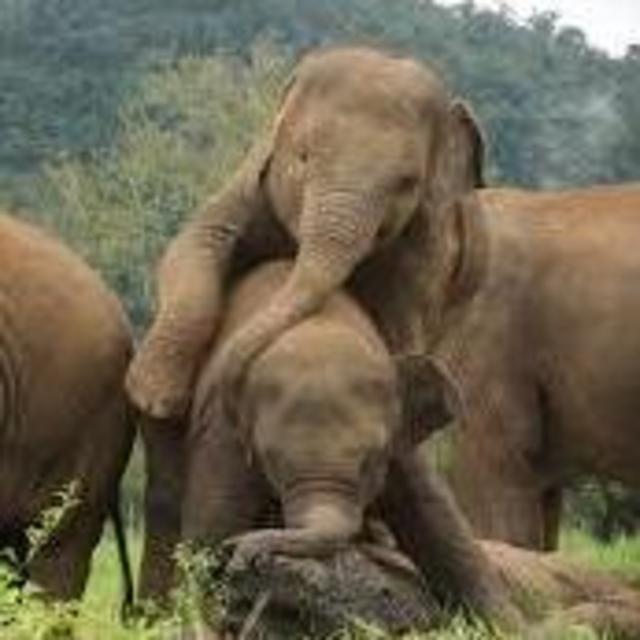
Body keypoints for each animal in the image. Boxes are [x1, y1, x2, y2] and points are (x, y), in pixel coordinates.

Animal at [125, 45, 485, 423]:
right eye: (304, 157)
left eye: (407, 183)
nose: (220, 398)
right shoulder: (251, 184)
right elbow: (197, 242)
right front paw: (153, 399)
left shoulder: (424, 246)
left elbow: (406, 322)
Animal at [181, 260, 523, 631]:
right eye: (268, 461)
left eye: (371, 461)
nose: (243, 553)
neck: (320, 328)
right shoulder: (221, 432)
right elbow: (209, 526)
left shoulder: (401, 448)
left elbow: (440, 524)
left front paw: (510, 625)